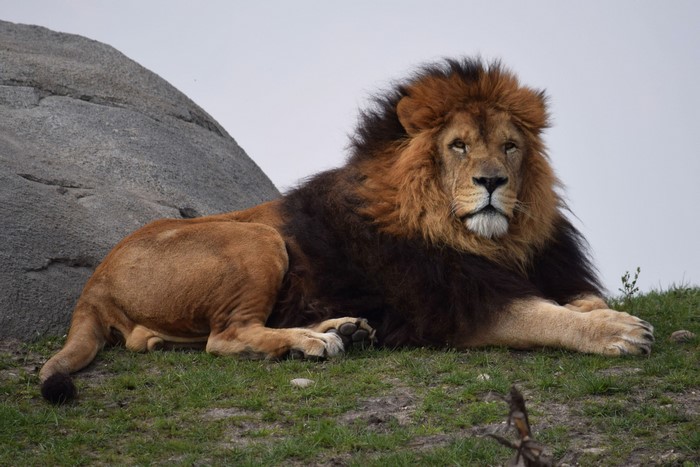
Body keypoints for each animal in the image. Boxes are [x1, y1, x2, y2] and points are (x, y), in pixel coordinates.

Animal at [39, 58, 654, 404]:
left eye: (509, 145)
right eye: (458, 146)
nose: (492, 181)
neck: (493, 242)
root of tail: (95, 280)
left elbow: (580, 299)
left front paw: (603, 313)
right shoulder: (457, 303)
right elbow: (543, 317)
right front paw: (619, 331)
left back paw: (346, 328)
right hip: (255, 239)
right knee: (225, 337)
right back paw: (314, 341)